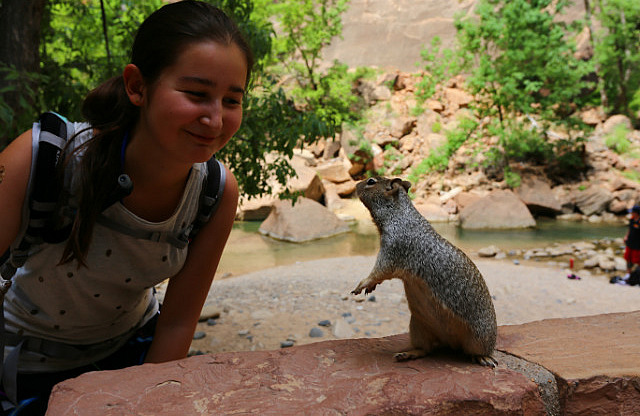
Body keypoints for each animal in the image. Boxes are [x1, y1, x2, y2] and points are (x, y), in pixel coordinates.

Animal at [352, 177, 498, 366]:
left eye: (371, 181)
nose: (355, 185)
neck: (399, 216)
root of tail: (450, 342)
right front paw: (370, 287)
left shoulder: (392, 251)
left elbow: (379, 271)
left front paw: (363, 284)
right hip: (418, 327)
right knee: (425, 349)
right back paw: (408, 354)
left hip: (479, 337)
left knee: (476, 350)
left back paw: (483, 357)